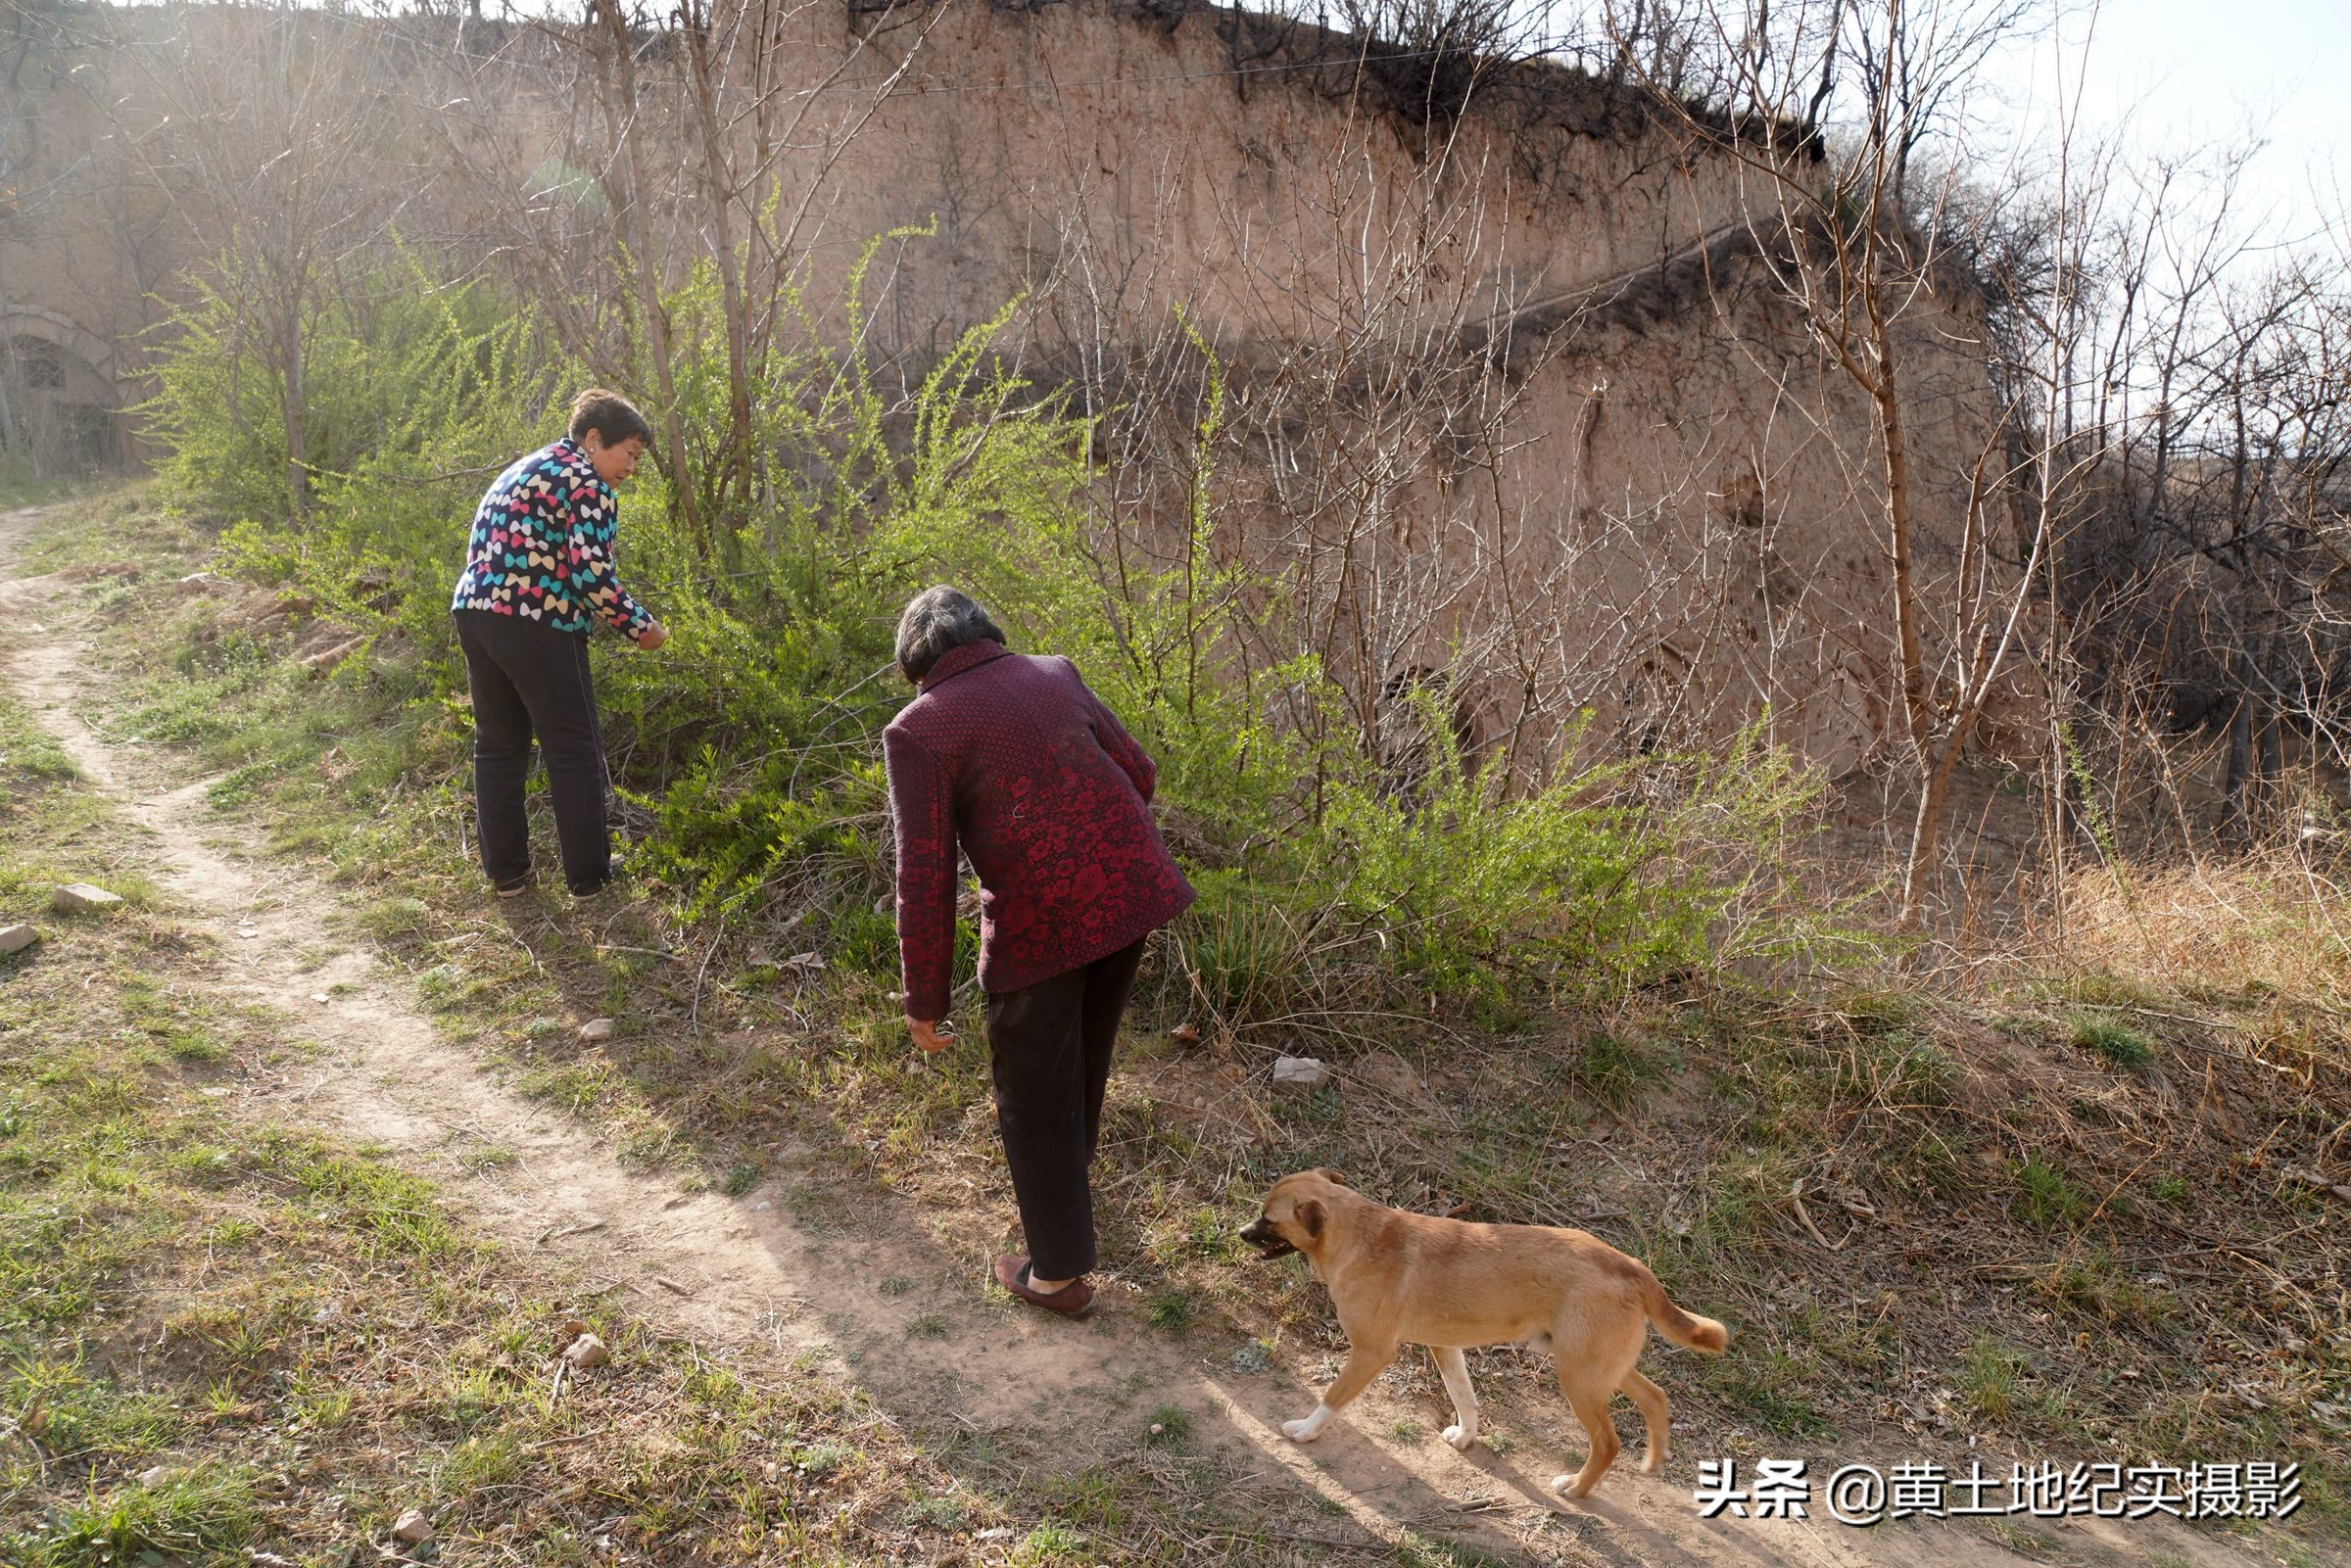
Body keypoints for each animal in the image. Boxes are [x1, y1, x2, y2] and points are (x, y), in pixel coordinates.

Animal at [1250, 1175, 1730, 1495]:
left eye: (1268, 1219)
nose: (1239, 1232)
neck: (1361, 1234)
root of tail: (1631, 1265)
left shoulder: (1371, 1352)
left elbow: (1331, 1399)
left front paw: (1306, 1431)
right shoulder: (1445, 1346)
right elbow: (1465, 1398)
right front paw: (1466, 1439)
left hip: (1577, 1377)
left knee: (1608, 1443)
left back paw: (1576, 1488)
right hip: (1596, 1367)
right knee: (1655, 1396)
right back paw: (1653, 1459)